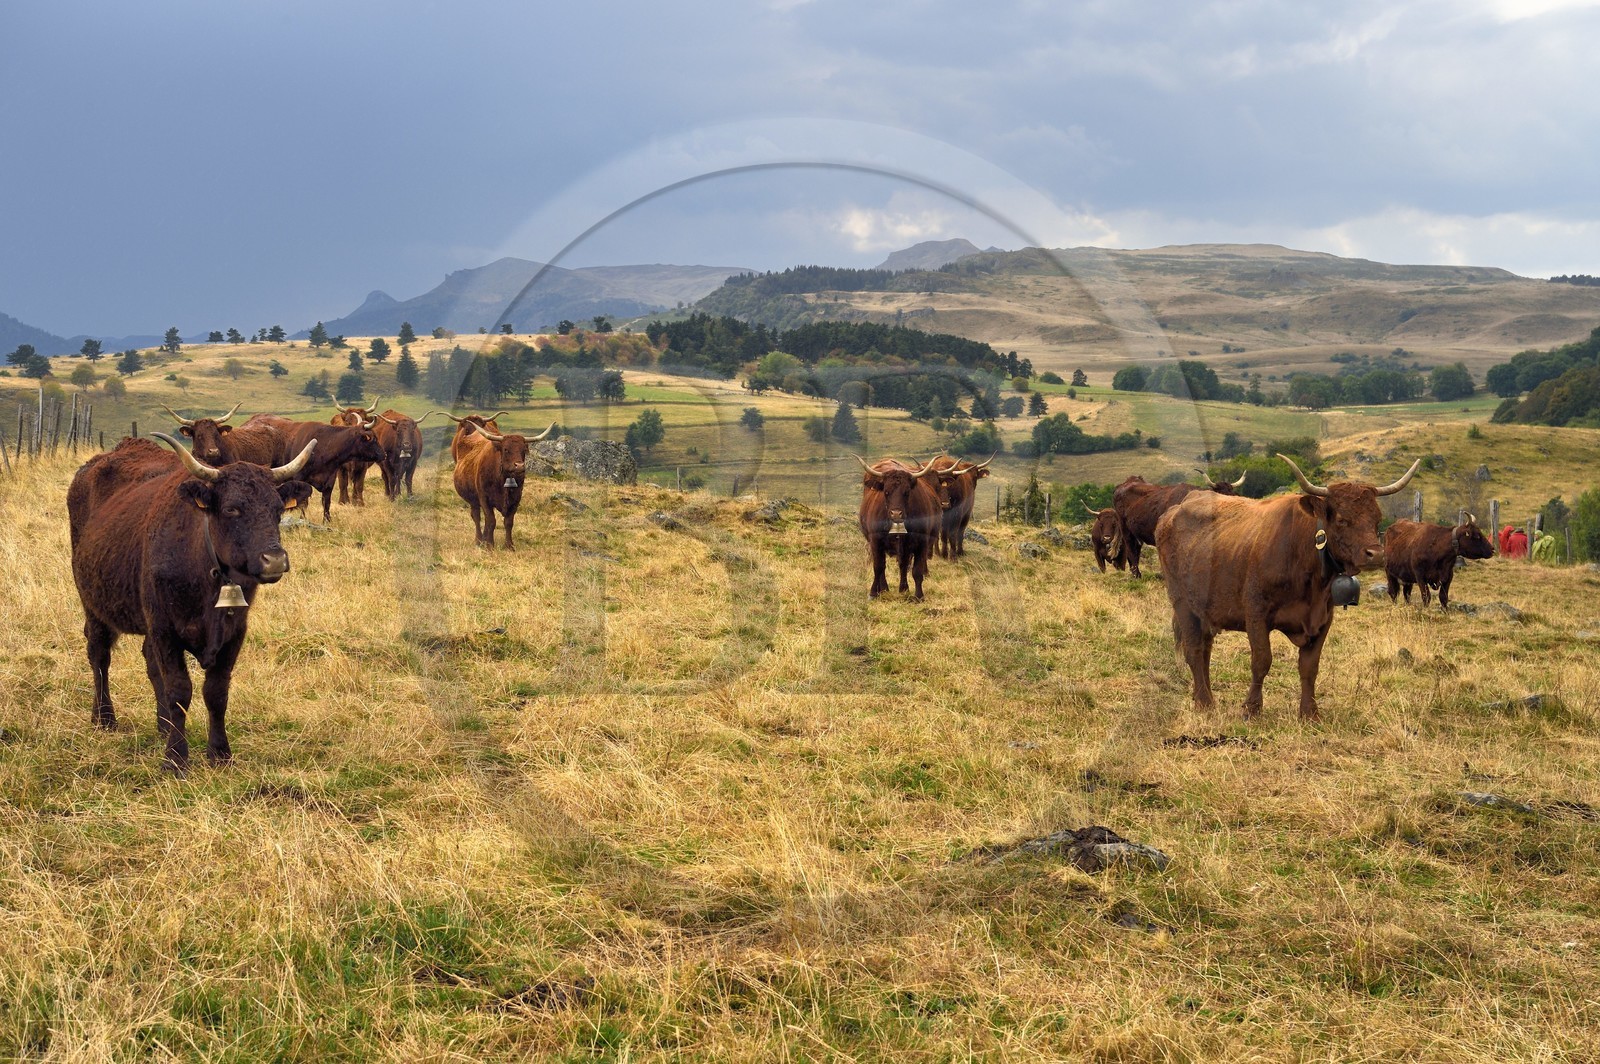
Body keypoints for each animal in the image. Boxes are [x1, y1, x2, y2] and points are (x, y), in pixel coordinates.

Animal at [68, 433, 316, 772]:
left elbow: (216, 692)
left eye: (278, 509)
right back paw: (104, 717)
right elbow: (178, 690)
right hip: (93, 604)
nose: (275, 560)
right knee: (99, 655)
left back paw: (162, 724)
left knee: (148, 662)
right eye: (232, 509)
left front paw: (220, 753)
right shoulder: (165, 629)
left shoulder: (234, 632)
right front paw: (175, 758)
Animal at [453, 421, 534, 550]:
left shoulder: (516, 500)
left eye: (524, 450)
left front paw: (509, 545)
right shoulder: (484, 499)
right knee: (477, 517)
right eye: (506, 449)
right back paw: (479, 540)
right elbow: (491, 521)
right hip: (473, 501)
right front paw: (490, 545)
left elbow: (508, 522)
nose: (519, 466)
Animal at [856, 455, 941, 599]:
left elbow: (916, 570)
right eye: (886, 492)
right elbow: (878, 567)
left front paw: (918, 596)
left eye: (906, 492)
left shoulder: (921, 543)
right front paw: (873, 592)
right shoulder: (875, 541)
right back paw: (884, 588)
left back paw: (903, 589)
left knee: (903, 565)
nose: (896, 513)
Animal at [1155, 453, 1419, 721]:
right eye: (1342, 519)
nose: (1375, 554)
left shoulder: (1323, 620)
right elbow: (1261, 661)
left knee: (1205, 651)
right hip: (1182, 603)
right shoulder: (1256, 614)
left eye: (1376, 519)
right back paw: (1204, 702)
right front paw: (1252, 708)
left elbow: (1310, 667)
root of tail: (1175, 510)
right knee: (1194, 650)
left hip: (1206, 610)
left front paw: (1309, 713)